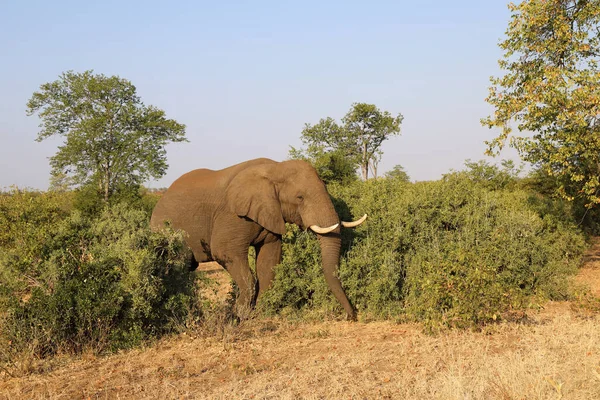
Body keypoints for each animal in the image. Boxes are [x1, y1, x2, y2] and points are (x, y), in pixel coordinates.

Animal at [150, 158, 366, 320]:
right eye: (300, 197)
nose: (351, 316)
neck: (275, 168)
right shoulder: (232, 214)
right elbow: (226, 253)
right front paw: (238, 316)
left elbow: (268, 262)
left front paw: (260, 313)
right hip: (167, 229)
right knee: (178, 268)